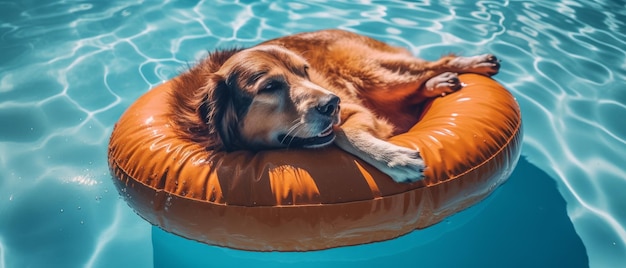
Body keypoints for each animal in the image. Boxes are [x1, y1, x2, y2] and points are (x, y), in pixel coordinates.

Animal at [168, 29, 500, 184]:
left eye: (304, 71)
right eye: (270, 87)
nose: (332, 103)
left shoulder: (355, 111)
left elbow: (342, 133)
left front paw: (394, 159)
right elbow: (338, 132)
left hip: (375, 73)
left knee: (434, 64)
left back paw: (473, 63)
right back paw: (438, 83)